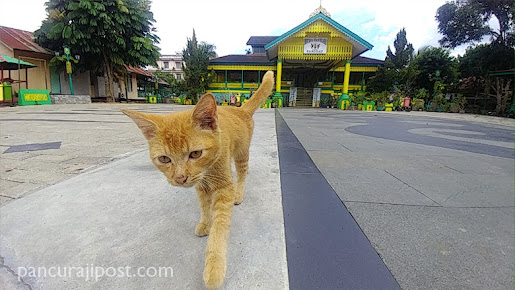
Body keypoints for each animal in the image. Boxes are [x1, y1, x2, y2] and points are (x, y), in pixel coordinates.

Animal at [122, 70, 274, 288]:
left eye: (195, 154)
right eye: (164, 159)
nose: (180, 178)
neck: (208, 171)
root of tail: (241, 110)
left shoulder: (224, 188)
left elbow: (219, 227)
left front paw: (214, 267)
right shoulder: (201, 186)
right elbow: (204, 206)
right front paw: (205, 222)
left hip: (241, 154)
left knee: (243, 172)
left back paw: (239, 193)